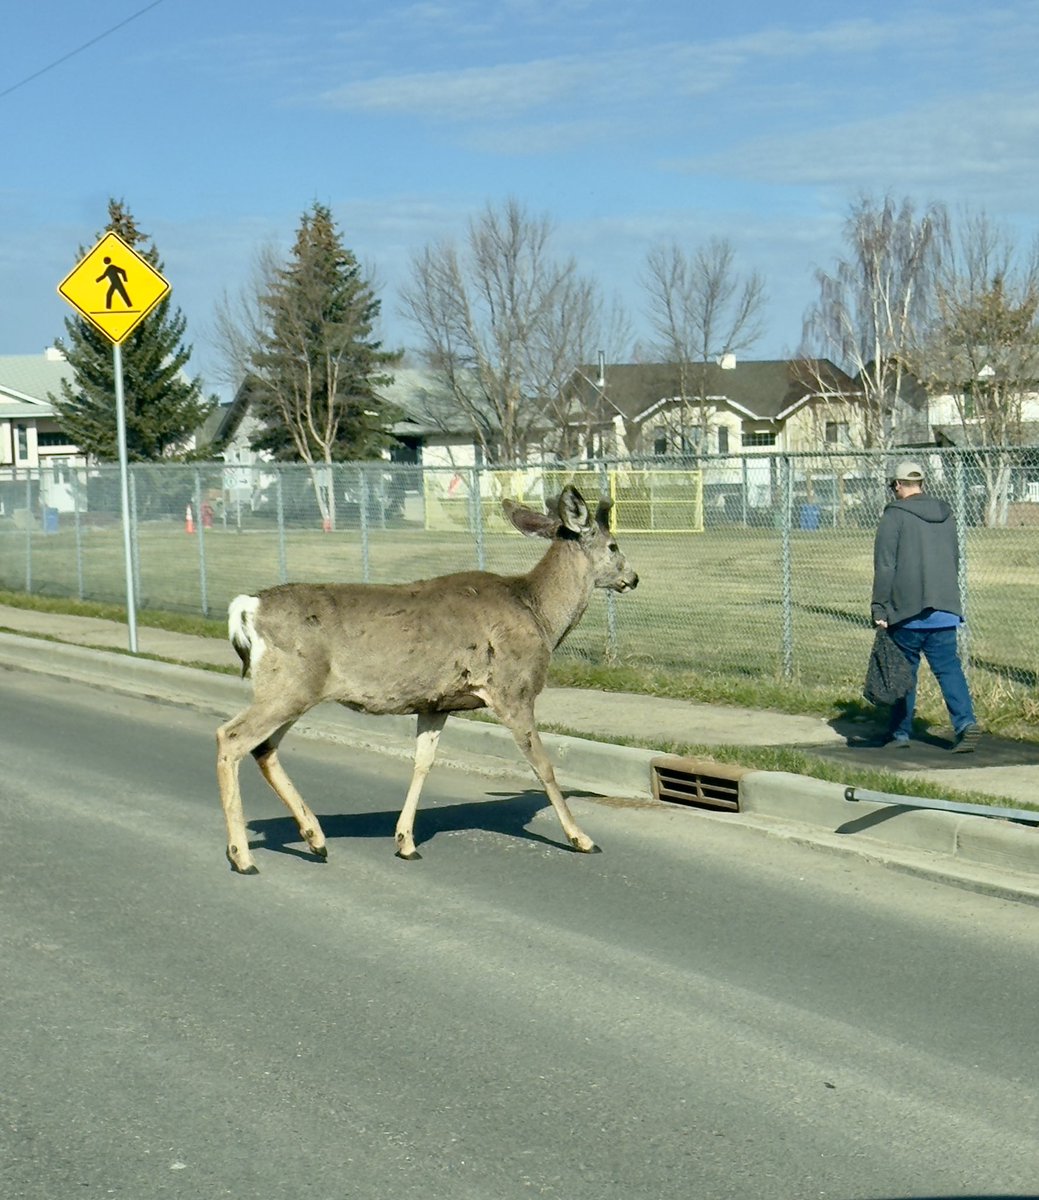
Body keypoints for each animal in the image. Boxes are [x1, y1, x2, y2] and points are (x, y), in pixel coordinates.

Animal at [216, 484, 638, 873]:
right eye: (614, 545)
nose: (633, 578)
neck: (539, 615)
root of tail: (249, 607)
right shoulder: (513, 690)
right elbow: (543, 766)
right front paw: (581, 838)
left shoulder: (437, 702)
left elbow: (423, 762)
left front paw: (405, 841)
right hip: (288, 685)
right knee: (231, 736)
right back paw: (242, 856)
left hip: (295, 689)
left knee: (264, 748)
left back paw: (315, 838)